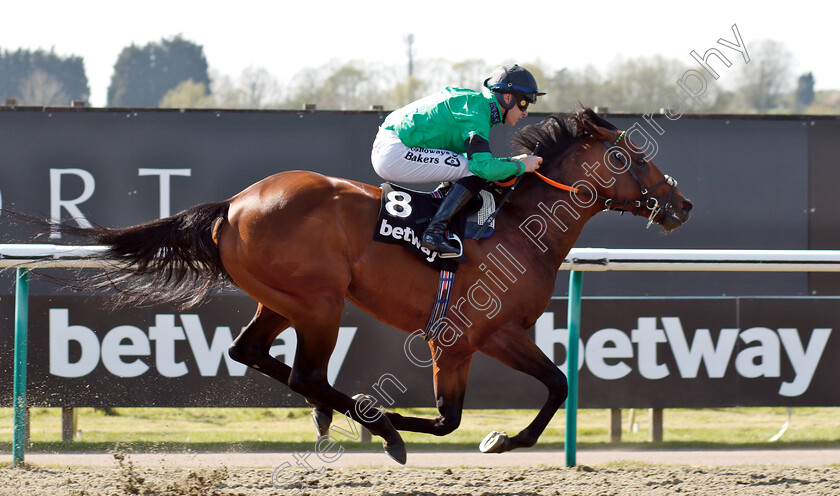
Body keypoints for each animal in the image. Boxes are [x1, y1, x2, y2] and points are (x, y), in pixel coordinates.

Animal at [36, 108, 688, 464]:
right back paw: (374, 424)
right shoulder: (474, 335)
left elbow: (497, 404)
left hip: (284, 300)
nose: (680, 204)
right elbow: (536, 391)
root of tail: (235, 204)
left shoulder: (471, 341)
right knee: (305, 373)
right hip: (320, 302)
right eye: (632, 157)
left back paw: (345, 417)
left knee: (253, 352)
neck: (518, 230)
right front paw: (492, 438)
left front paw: (485, 436)